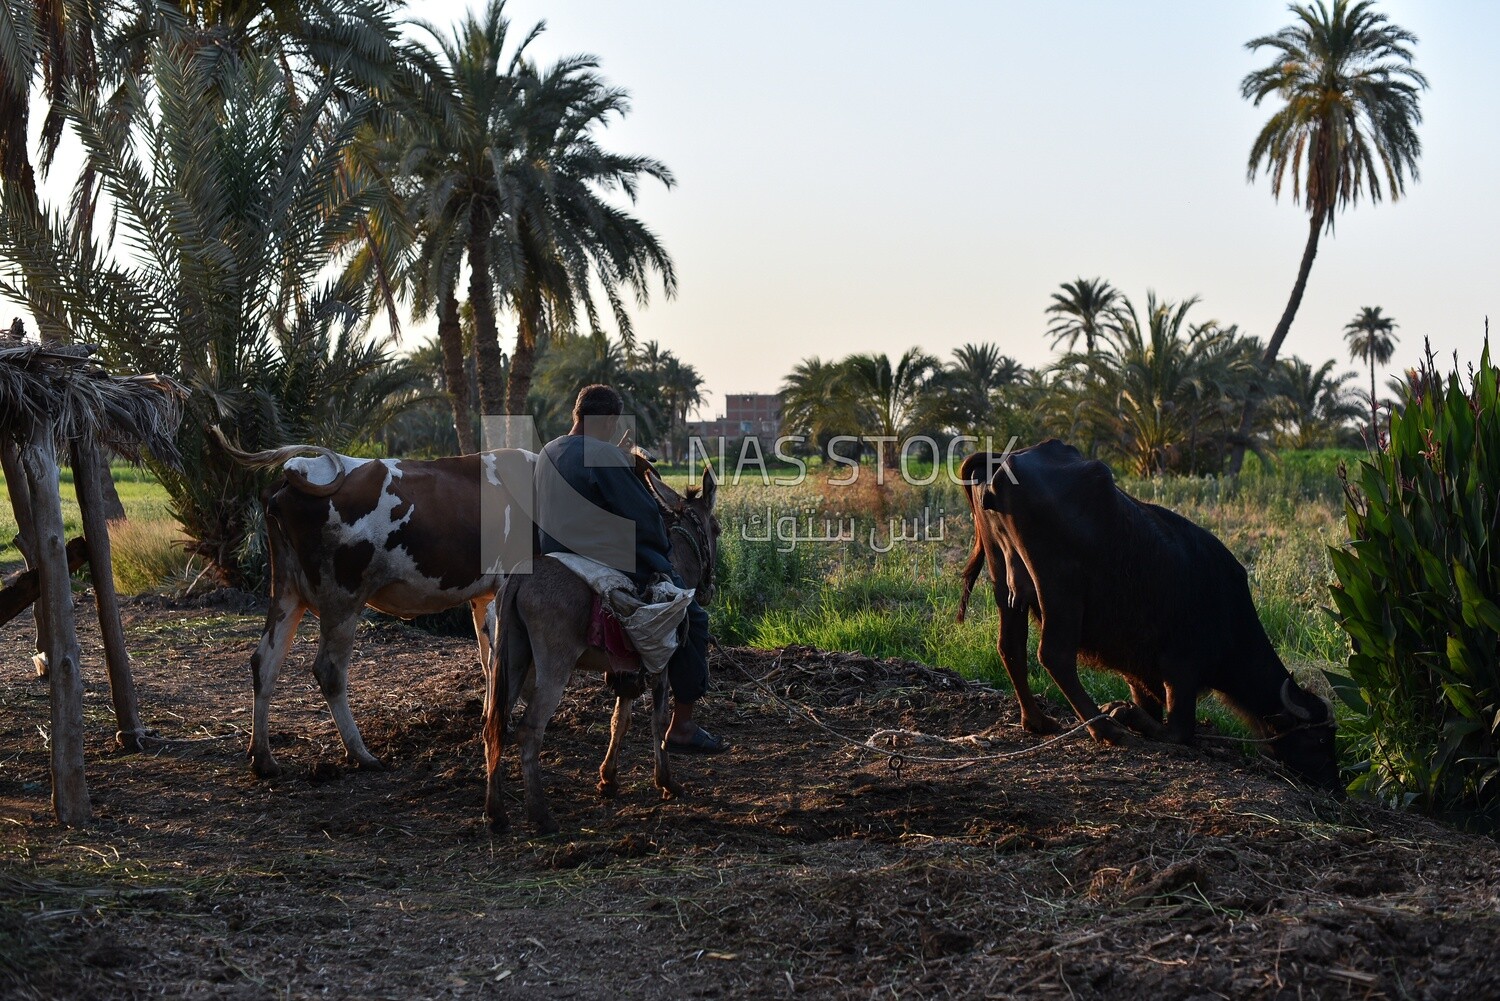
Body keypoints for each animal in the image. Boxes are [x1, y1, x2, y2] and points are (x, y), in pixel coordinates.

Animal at [214, 429, 537, 774]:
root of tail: (294, 471)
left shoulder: (482, 593)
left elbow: (488, 656)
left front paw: (491, 714)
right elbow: (504, 657)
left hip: (287, 590)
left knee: (265, 662)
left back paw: (263, 758)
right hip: (342, 599)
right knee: (328, 671)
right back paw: (360, 753)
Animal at [954, 438, 1344, 792]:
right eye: (1321, 740)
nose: (1335, 784)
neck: (1228, 617)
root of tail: (1003, 461)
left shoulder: (1142, 676)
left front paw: (1125, 710)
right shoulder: (1182, 671)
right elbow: (1181, 732)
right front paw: (1122, 713)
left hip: (1004, 582)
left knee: (1011, 646)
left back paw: (1037, 721)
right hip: (1061, 588)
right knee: (1054, 655)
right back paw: (1106, 729)